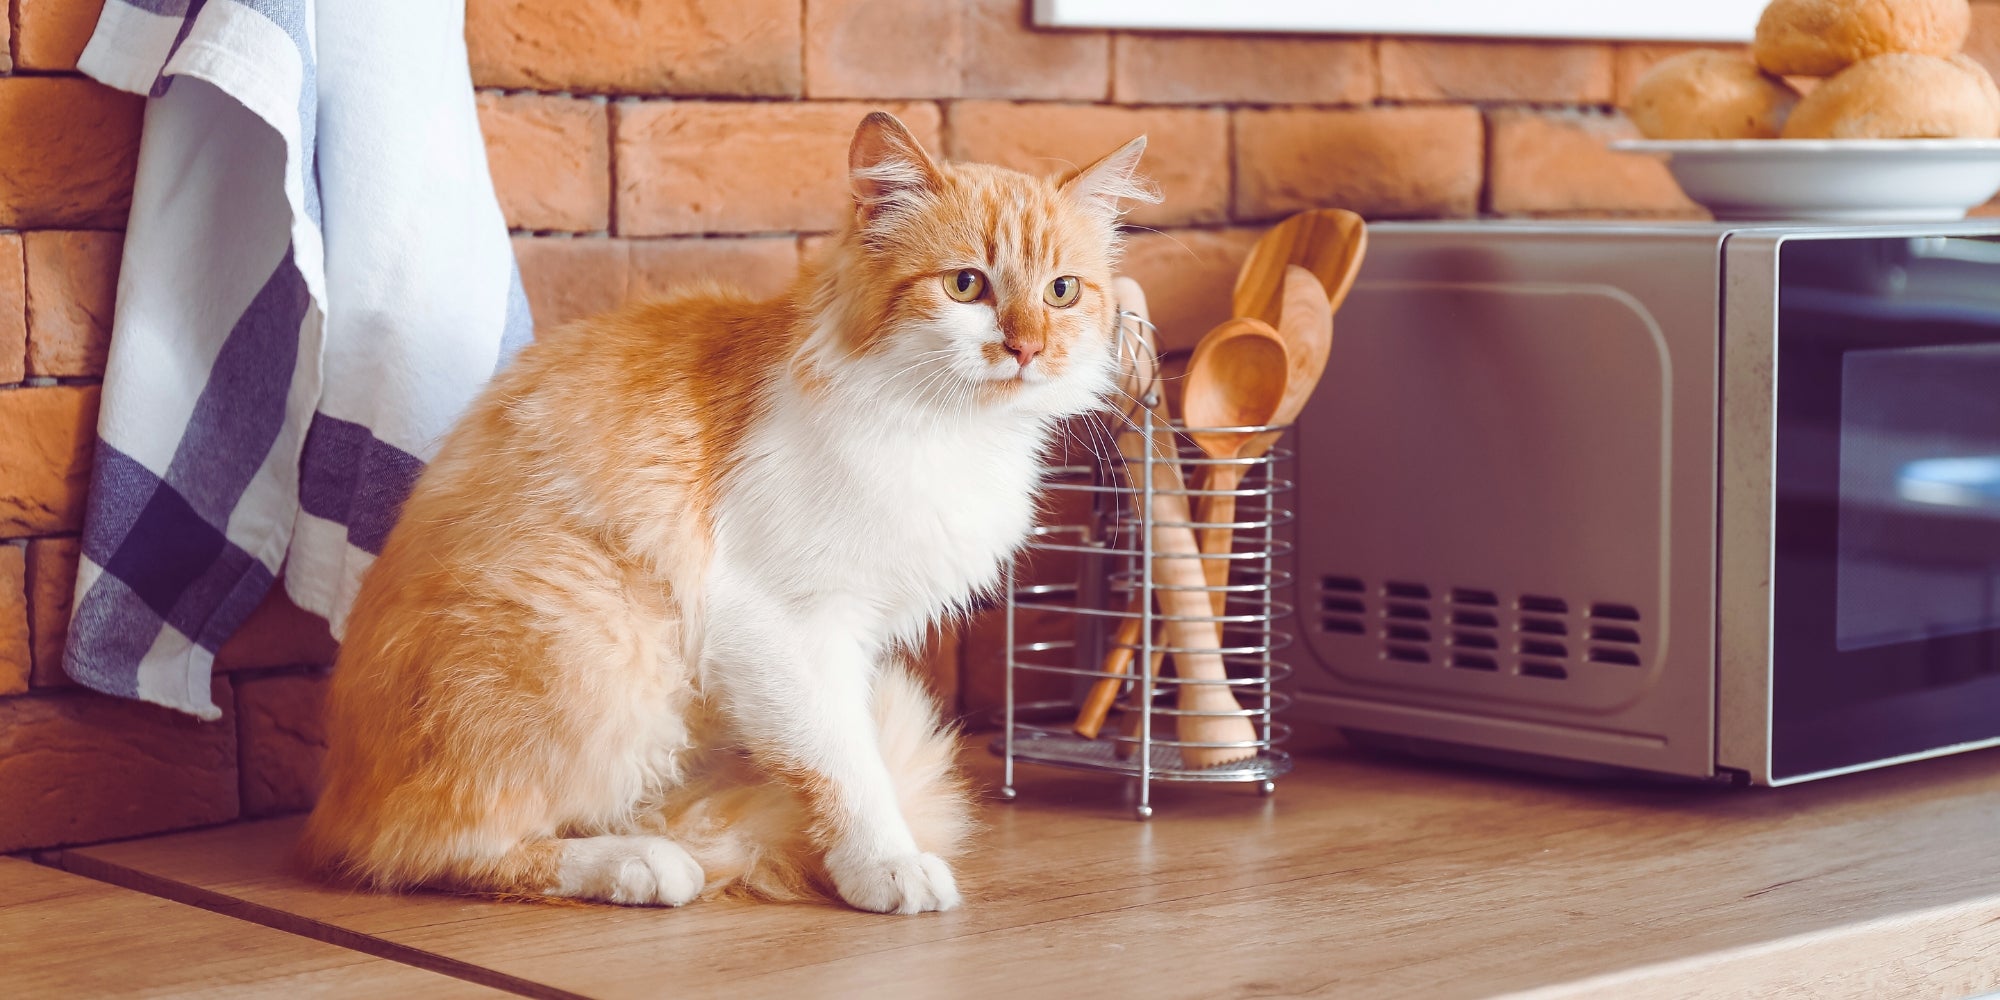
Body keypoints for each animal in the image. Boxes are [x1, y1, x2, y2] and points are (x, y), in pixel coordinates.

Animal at [296, 111, 1160, 916]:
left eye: (1061, 292)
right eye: (967, 286)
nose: (1027, 348)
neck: (945, 429)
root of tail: (333, 799)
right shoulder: (784, 625)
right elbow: (847, 767)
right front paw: (882, 865)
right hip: (606, 631)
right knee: (434, 846)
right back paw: (641, 862)